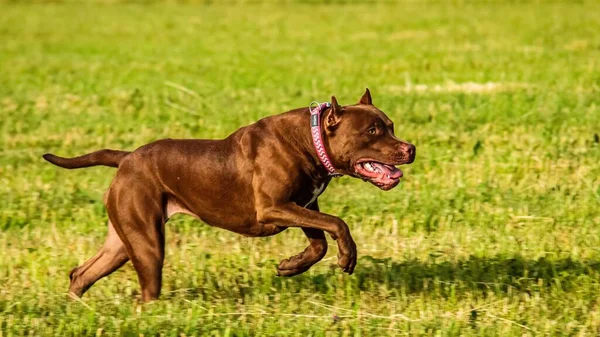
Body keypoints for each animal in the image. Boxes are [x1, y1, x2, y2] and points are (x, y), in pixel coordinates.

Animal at [44, 88, 414, 300]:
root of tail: (127, 158)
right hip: (147, 244)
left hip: (122, 242)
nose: (410, 148)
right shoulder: (274, 207)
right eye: (372, 131)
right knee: (145, 291)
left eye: (391, 126)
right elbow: (337, 223)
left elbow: (319, 242)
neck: (312, 140)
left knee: (82, 273)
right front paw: (347, 257)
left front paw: (290, 267)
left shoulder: (303, 204)